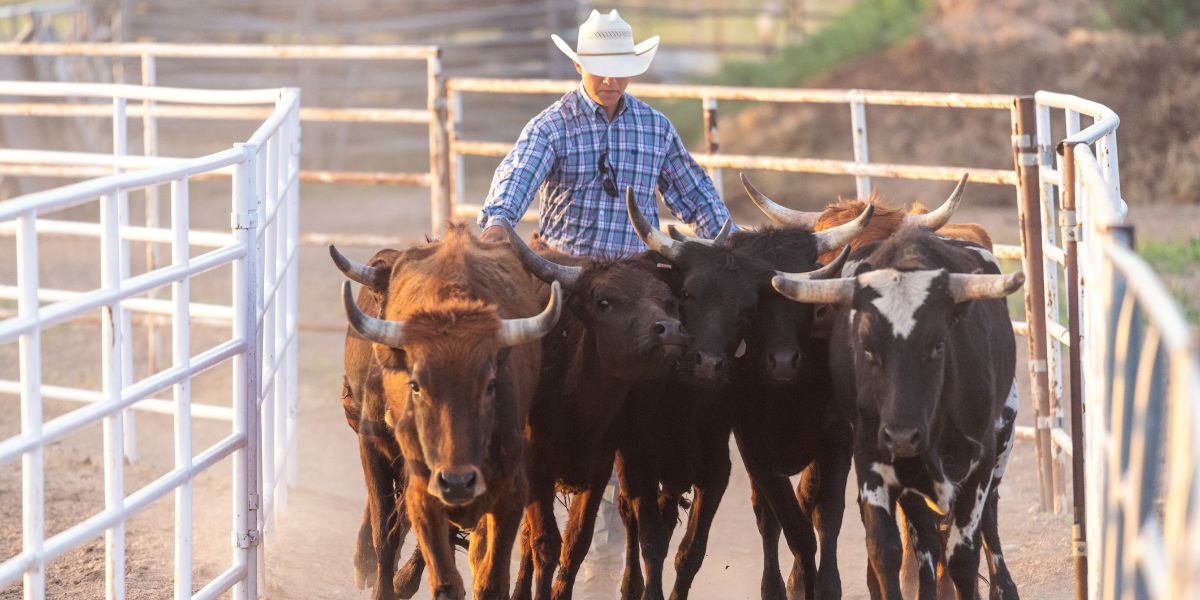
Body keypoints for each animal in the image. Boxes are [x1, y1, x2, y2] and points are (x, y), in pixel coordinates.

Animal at [768, 225, 1022, 600]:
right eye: (866, 348)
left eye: (938, 344)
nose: (902, 436)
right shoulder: (872, 459)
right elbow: (885, 548)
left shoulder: (981, 461)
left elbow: (964, 555)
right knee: (926, 538)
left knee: (988, 518)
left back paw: (1004, 587)